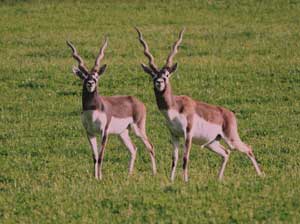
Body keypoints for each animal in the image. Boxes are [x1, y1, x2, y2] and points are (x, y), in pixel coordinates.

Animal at [67, 37, 157, 179]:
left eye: (96, 76)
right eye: (84, 77)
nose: (90, 83)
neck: (93, 110)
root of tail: (137, 101)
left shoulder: (104, 132)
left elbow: (101, 156)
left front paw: (100, 178)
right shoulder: (89, 132)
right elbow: (94, 156)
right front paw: (95, 177)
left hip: (138, 129)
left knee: (150, 146)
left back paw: (154, 173)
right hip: (123, 133)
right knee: (133, 149)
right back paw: (129, 174)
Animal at [136, 27, 262, 182]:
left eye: (167, 75)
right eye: (153, 75)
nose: (159, 82)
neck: (175, 108)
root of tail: (229, 114)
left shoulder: (188, 134)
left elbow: (185, 158)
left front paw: (185, 181)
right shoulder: (174, 135)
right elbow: (174, 159)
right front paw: (171, 181)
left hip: (231, 138)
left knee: (248, 148)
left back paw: (260, 175)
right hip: (212, 143)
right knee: (226, 153)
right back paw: (219, 179)